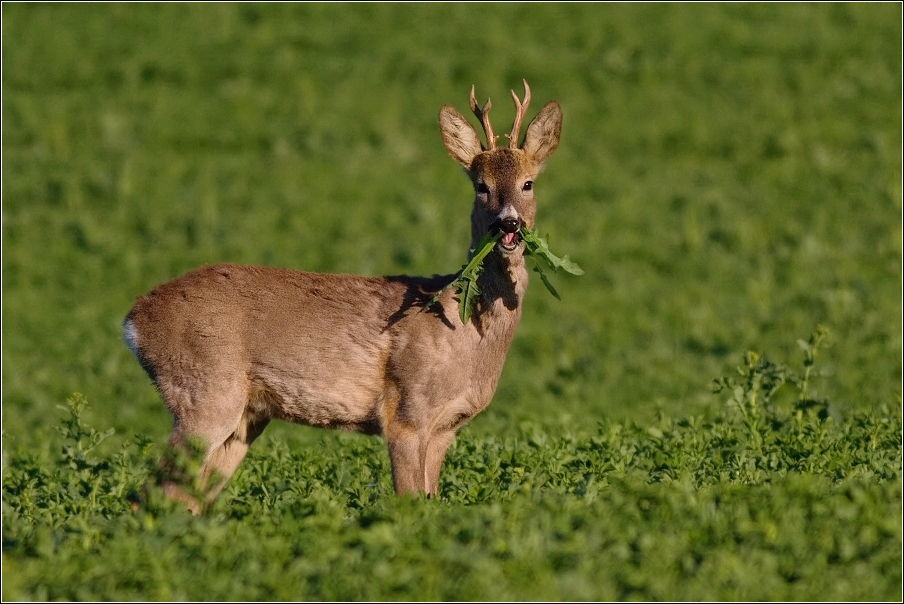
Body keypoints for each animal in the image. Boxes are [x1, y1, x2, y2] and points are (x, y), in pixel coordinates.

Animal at [123, 80, 560, 512]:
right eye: (481, 186)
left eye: (528, 183)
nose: (508, 224)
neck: (464, 328)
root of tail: (133, 320)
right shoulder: (405, 412)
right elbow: (409, 500)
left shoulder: (445, 428)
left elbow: (432, 499)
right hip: (204, 393)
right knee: (149, 495)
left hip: (243, 419)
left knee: (186, 498)